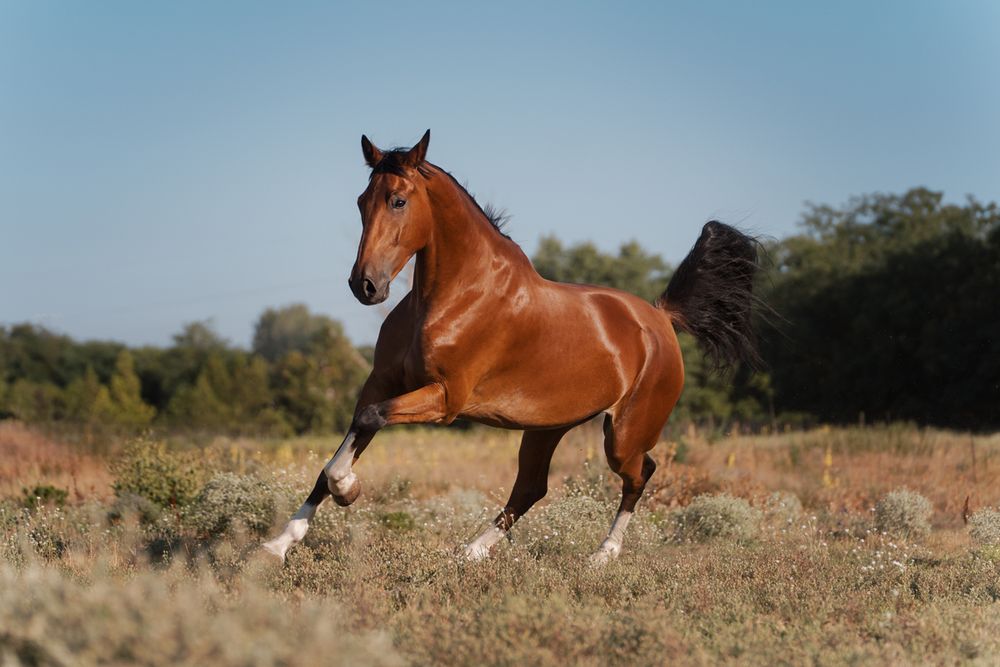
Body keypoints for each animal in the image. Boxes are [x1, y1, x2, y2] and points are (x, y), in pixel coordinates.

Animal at [263, 130, 762, 563]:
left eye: (398, 200)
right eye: (362, 202)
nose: (365, 286)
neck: (455, 295)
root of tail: (660, 317)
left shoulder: (445, 400)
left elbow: (365, 425)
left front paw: (350, 491)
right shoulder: (382, 383)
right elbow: (342, 446)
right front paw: (277, 546)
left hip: (622, 435)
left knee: (640, 474)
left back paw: (601, 556)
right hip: (547, 427)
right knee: (531, 488)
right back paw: (470, 553)